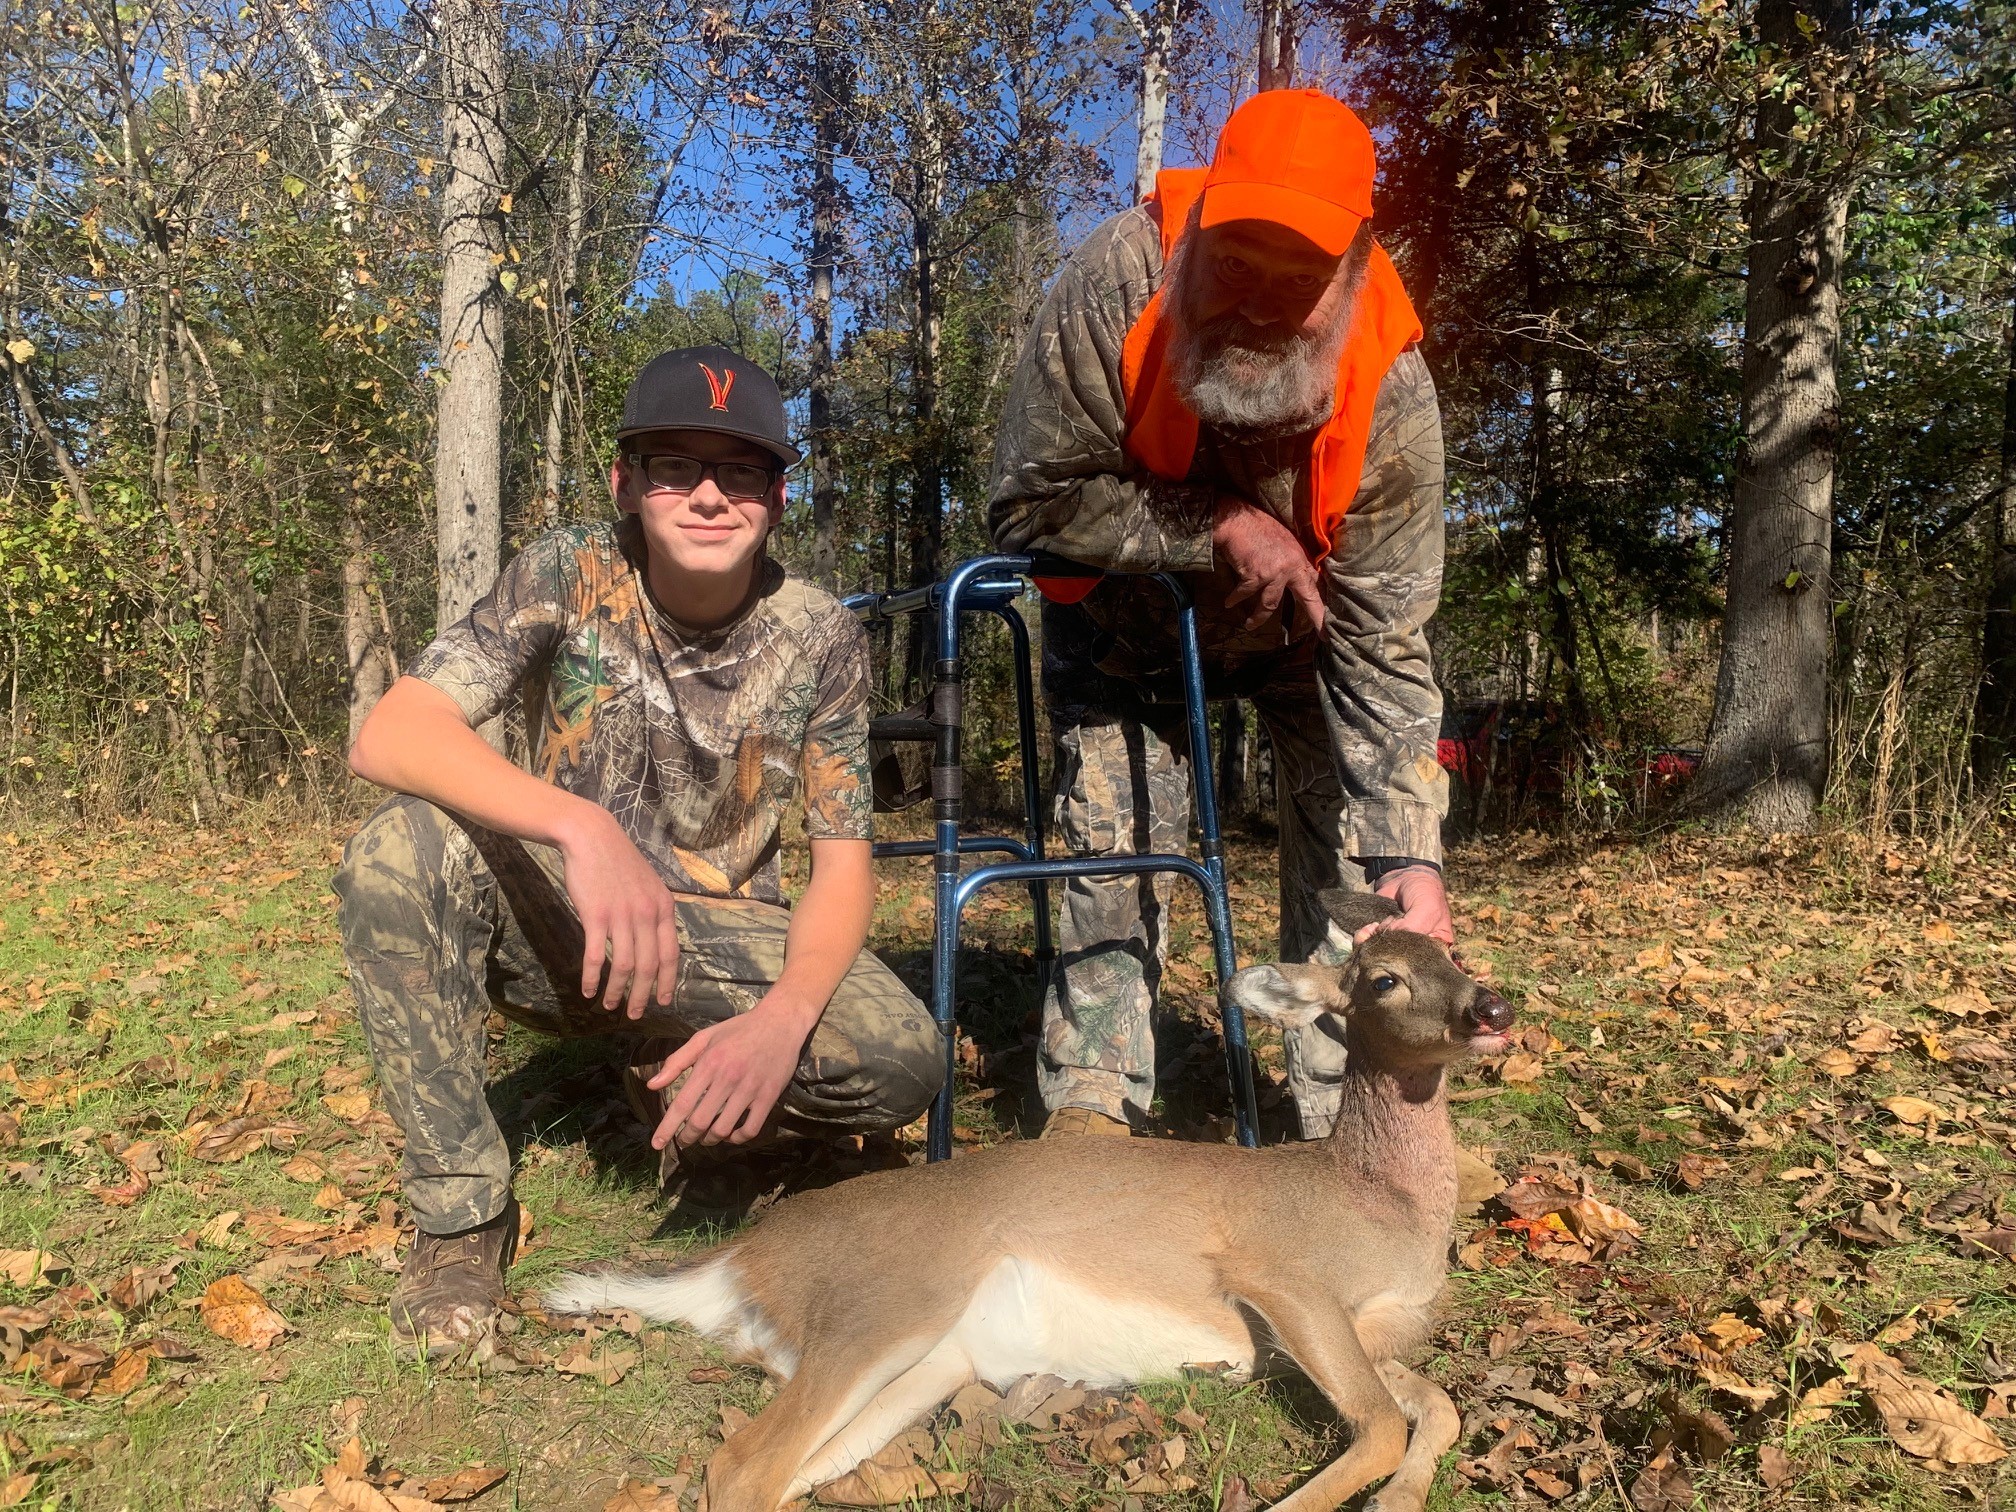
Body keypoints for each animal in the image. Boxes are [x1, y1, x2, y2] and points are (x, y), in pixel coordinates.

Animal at [545, 890, 1514, 1512]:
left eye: (1457, 955)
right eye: (1384, 979)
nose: (1492, 1009)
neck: (1376, 1201)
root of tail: (741, 1256)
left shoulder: (1364, 1331)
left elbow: (1436, 1405)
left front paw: (1401, 1498)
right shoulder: (1282, 1276)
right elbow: (1380, 1424)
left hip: (931, 1363)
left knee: (791, 1475)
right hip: (883, 1304)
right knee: (741, 1466)